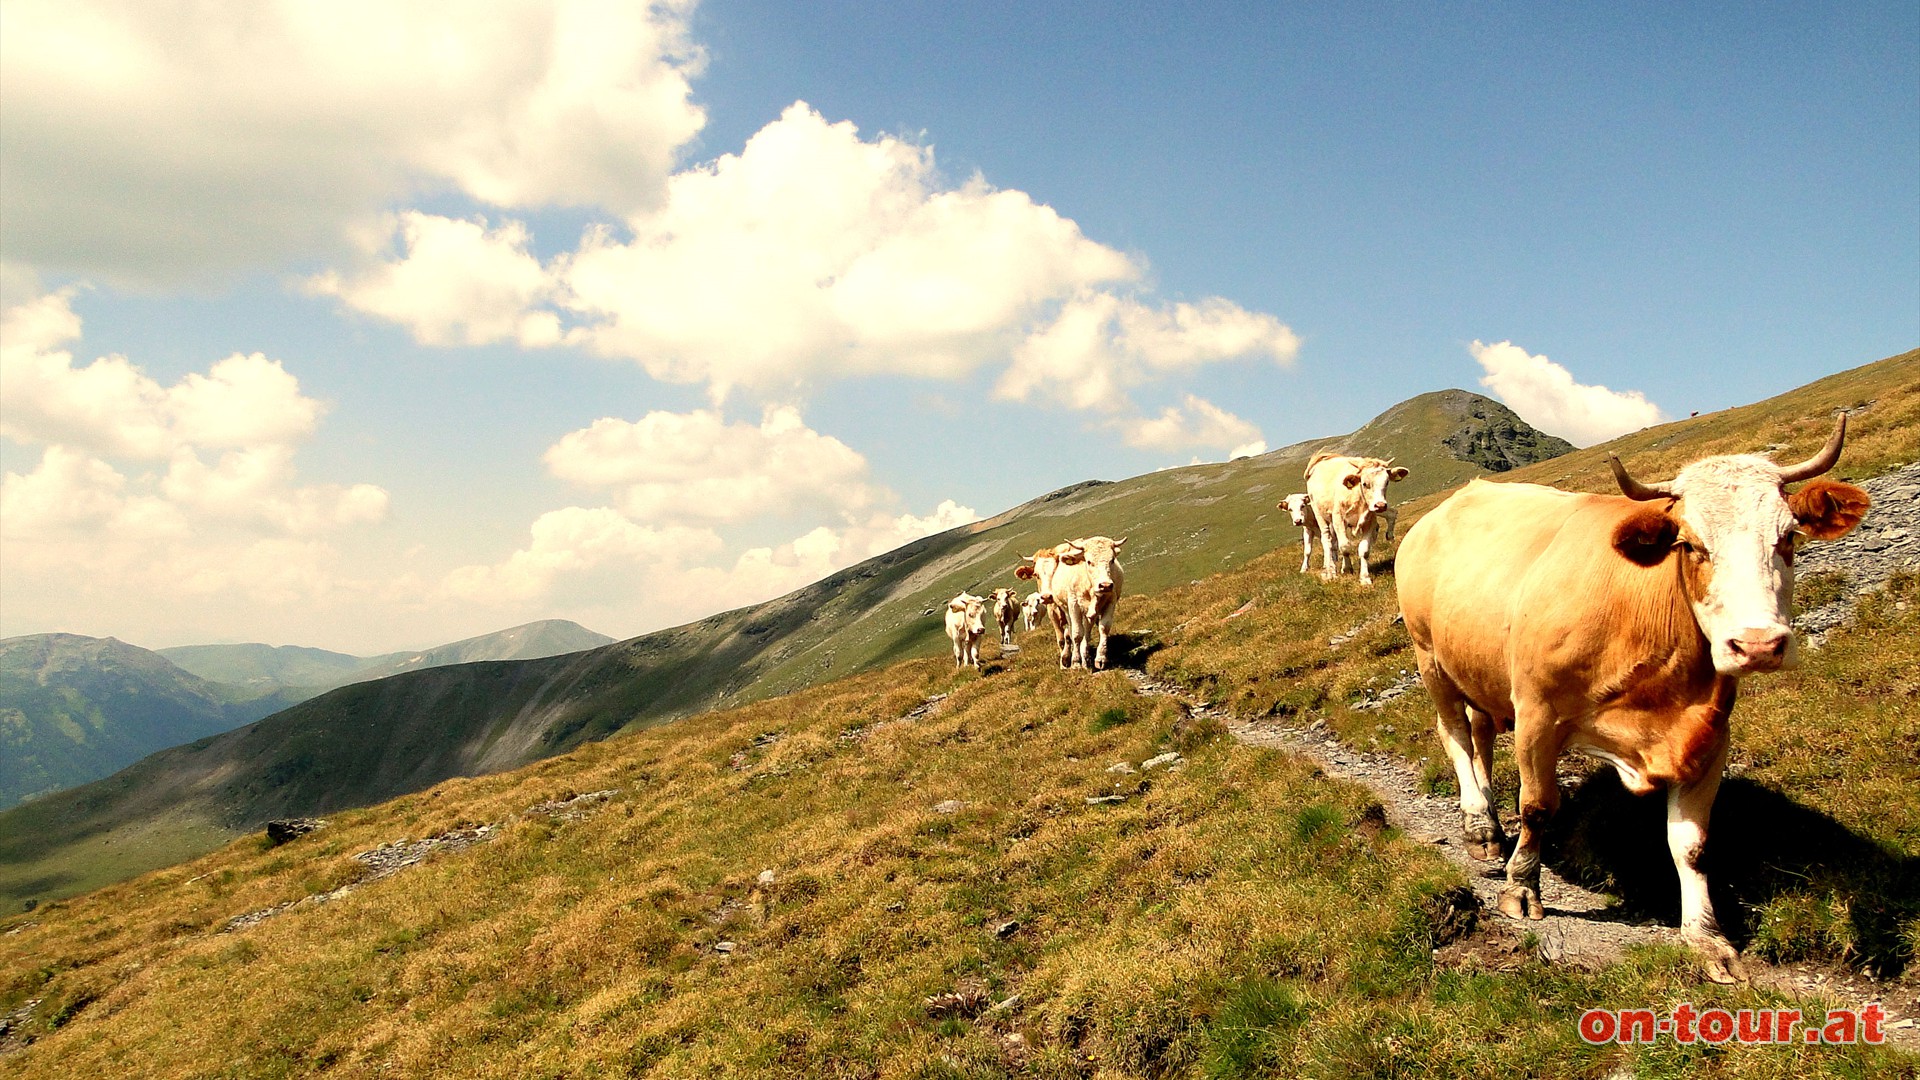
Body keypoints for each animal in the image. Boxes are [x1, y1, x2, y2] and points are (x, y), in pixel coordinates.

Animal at [1052, 530, 1121, 664]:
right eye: (1089, 561)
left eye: (1112, 560)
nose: (1105, 585)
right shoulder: (1074, 605)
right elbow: (1077, 633)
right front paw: (1076, 662)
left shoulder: (1111, 601)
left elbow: (1104, 628)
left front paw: (1100, 658)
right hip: (1066, 609)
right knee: (1072, 629)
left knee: (1087, 631)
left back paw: (1086, 656)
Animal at [1305, 449, 1413, 584]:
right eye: (1365, 483)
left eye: (1387, 482)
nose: (1380, 505)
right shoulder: (1338, 519)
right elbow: (1345, 546)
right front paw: (1347, 569)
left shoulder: (1370, 521)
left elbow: (1364, 550)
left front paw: (1364, 578)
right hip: (1320, 515)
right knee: (1327, 541)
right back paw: (1330, 571)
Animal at [1397, 417, 1873, 980]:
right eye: (1690, 544)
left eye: (1788, 536)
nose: (1757, 644)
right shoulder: (1537, 711)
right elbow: (1537, 806)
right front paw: (1522, 888)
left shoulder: (1709, 736)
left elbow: (1692, 845)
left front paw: (1706, 937)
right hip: (1430, 656)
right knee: (1454, 734)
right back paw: (1477, 824)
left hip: (1478, 666)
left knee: (1481, 732)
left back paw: (1489, 823)